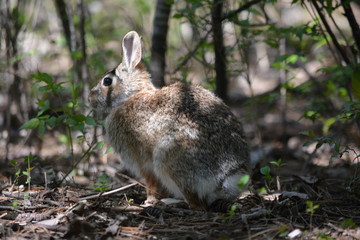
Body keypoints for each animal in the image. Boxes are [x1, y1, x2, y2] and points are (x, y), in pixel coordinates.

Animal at [88, 31, 250, 211]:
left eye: (107, 81)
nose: (90, 98)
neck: (129, 97)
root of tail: (225, 177)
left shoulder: (144, 161)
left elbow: (152, 183)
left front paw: (149, 201)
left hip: (167, 158)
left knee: (197, 204)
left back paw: (169, 202)